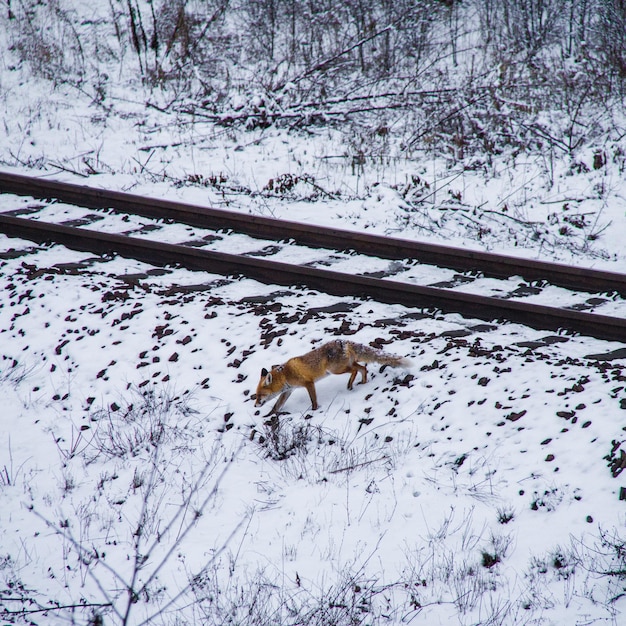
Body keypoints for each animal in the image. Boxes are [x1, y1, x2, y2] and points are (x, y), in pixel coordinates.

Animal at [254, 338, 410, 412]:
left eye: (259, 395)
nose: (255, 405)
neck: (285, 375)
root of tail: (344, 342)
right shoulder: (288, 391)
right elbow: (276, 406)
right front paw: (269, 416)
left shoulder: (309, 383)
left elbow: (313, 400)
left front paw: (314, 410)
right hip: (344, 366)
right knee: (363, 369)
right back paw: (362, 382)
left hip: (336, 370)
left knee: (356, 370)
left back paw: (351, 384)